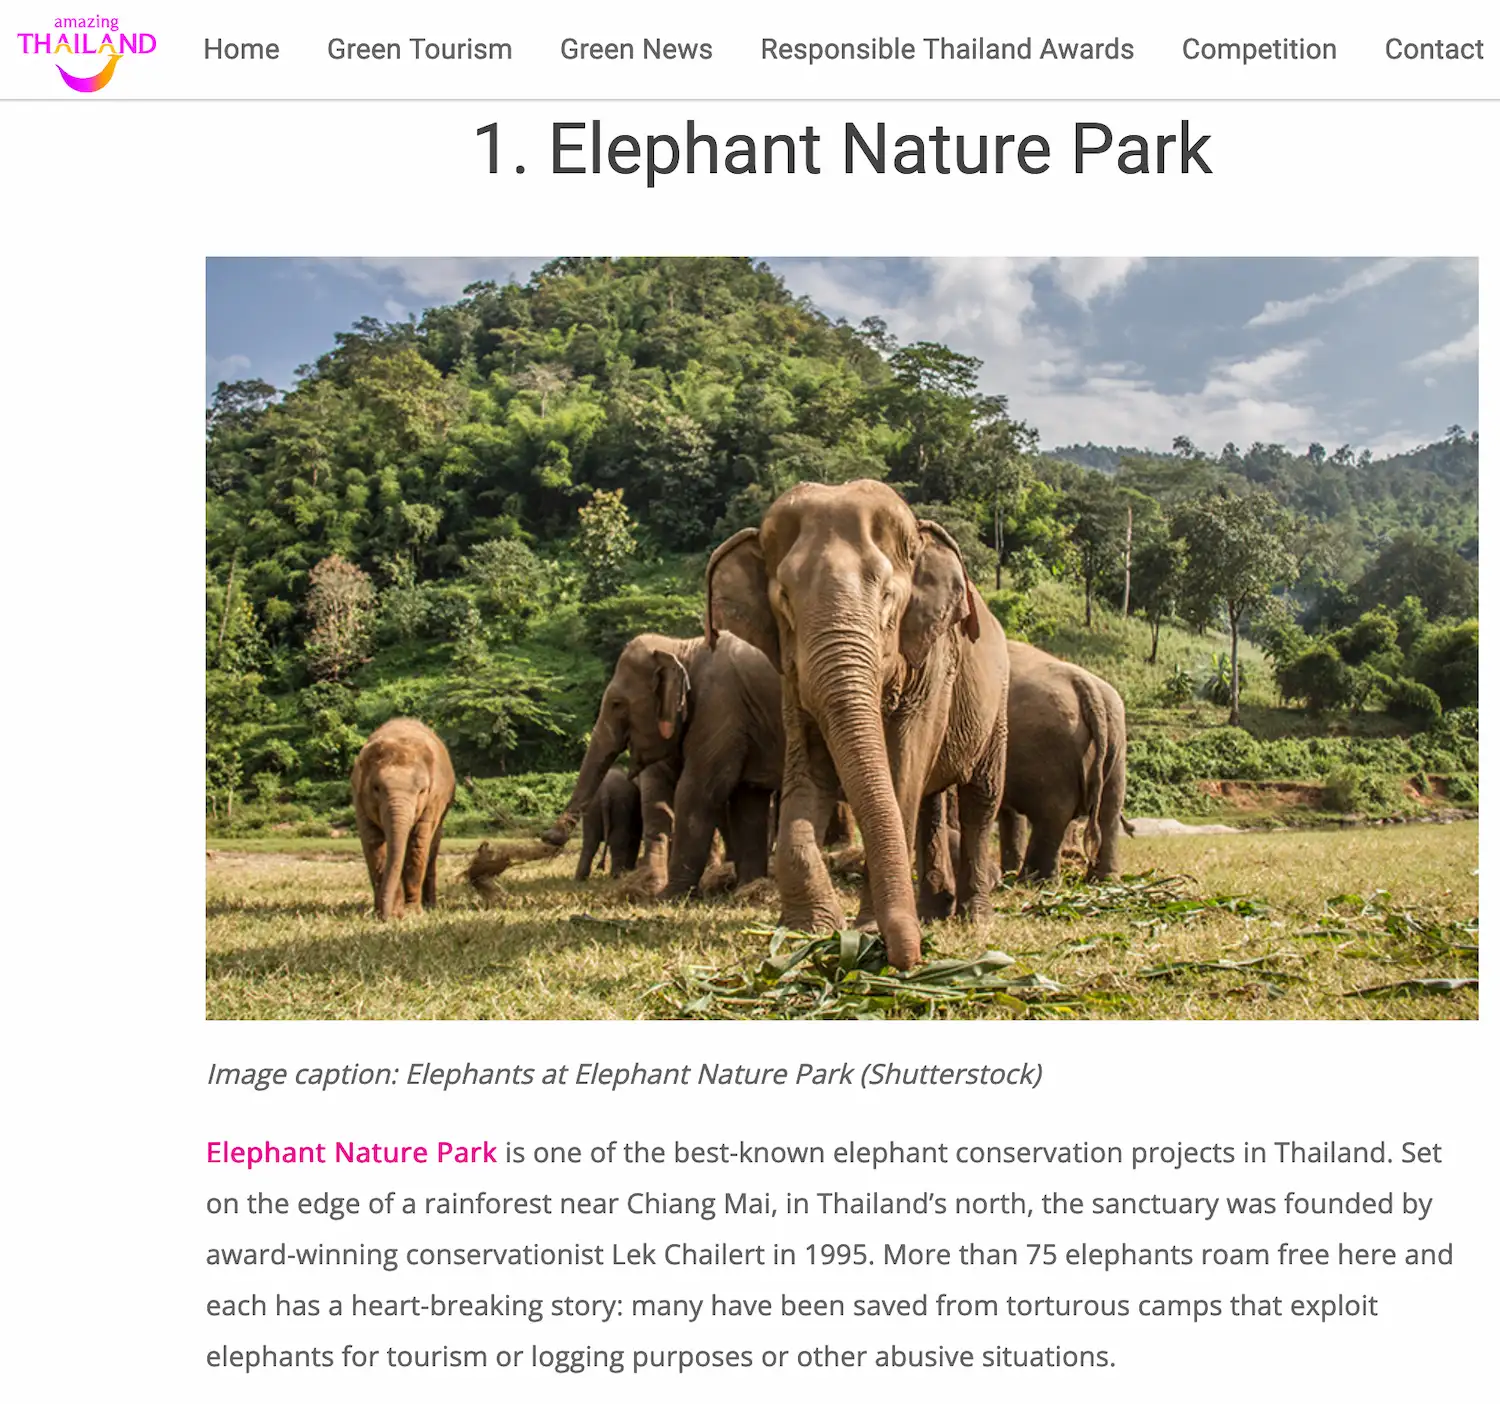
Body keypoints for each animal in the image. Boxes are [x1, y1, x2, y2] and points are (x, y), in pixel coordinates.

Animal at [350, 718, 456, 919]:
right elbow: (373, 844)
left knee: (432, 846)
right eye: (376, 788)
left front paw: (412, 912)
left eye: (422, 791)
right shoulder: (359, 800)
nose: (385, 916)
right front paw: (391, 912)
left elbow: (418, 844)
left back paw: (430, 906)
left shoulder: (434, 800)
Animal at [540, 631, 783, 896]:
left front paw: (667, 896)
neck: (682, 647)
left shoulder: (720, 710)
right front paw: (745, 890)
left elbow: (695, 793)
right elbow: (746, 800)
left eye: (617, 704)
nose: (549, 837)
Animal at [706, 479, 1010, 970]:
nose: (908, 959)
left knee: (980, 798)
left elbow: (902, 769)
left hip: (997, 703)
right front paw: (808, 930)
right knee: (931, 801)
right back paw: (932, 911)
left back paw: (974, 919)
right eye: (784, 599)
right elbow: (809, 770)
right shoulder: (792, 678)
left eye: (887, 595)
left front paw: (865, 930)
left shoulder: (932, 665)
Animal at [996, 642, 1128, 882]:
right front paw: (1006, 872)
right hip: (1116, 742)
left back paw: (1034, 880)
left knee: (1054, 811)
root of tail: (1087, 687)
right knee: (1110, 808)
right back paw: (1103, 880)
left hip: (1048, 746)